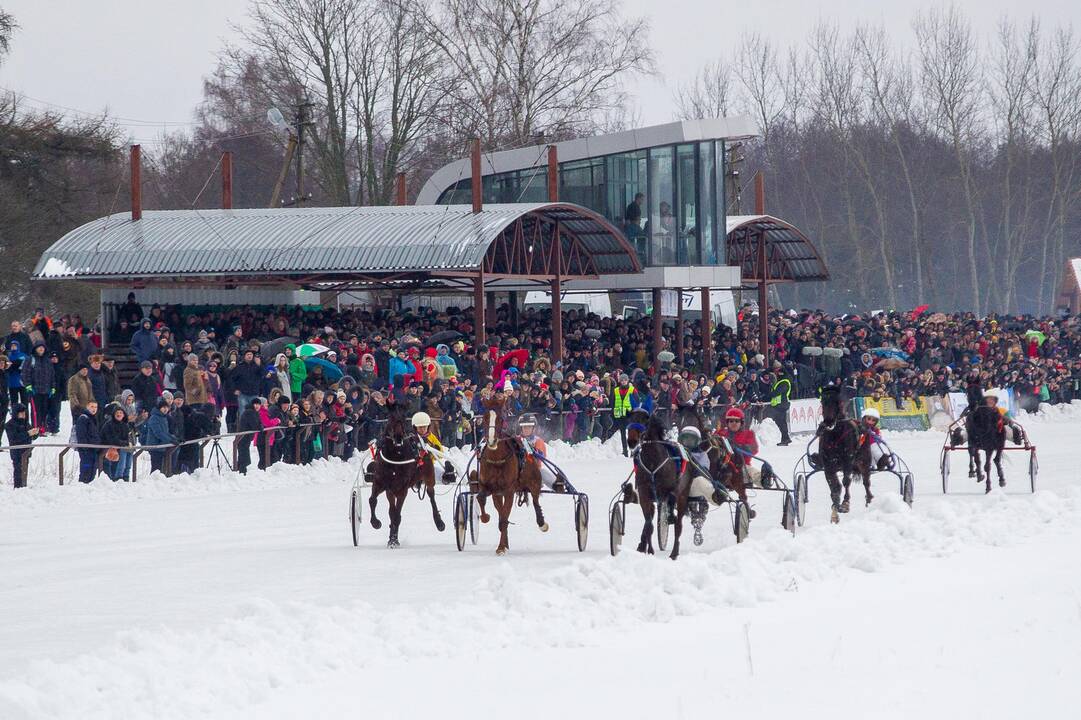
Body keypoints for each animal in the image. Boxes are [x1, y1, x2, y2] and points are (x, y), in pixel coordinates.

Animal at [367, 406, 443, 547]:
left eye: (403, 418)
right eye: (390, 418)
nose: (398, 438)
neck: (395, 457)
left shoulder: (402, 489)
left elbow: (397, 515)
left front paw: (393, 540)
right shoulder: (381, 483)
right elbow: (373, 500)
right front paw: (376, 523)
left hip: (429, 476)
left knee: (431, 494)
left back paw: (439, 522)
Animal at [466, 393, 544, 553]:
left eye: (501, 419)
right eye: (485, 417)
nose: (491, 440)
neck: (497, 459)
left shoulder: (509, 490)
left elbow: (504, 517)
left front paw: (501, 547)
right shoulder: (491, 488)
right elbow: (482, 499)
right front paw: (486, 518)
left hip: (534, 481)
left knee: (535, 500)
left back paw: (542, 523)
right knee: (502, 512)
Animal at [812, 387, 873, 521]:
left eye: (838, 402)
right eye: (822, 401)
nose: (828, 421)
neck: (835, 436)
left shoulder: (848, 460)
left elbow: (846, 481)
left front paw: (845, 504)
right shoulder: (828, 465)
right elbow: (834, 486)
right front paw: (835, 510)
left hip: (864, 460)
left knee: (866, 480)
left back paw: (869, 498)